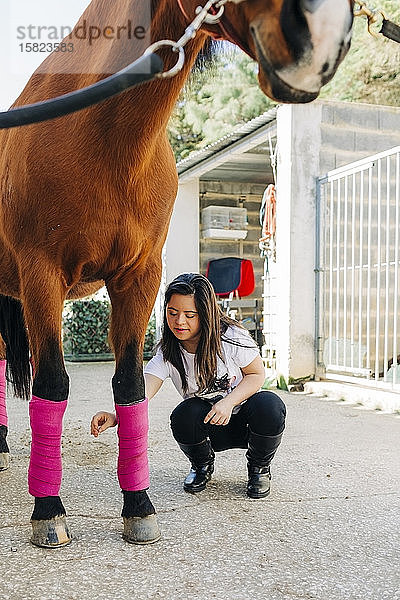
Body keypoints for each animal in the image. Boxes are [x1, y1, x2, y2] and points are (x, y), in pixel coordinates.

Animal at [0, 0, 354, 548]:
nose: (324, 38)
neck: (96, 140)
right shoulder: (42, 275)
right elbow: (53, 385)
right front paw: (48, 513)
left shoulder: (140, 277)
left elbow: (129, 386)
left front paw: (138, 507)